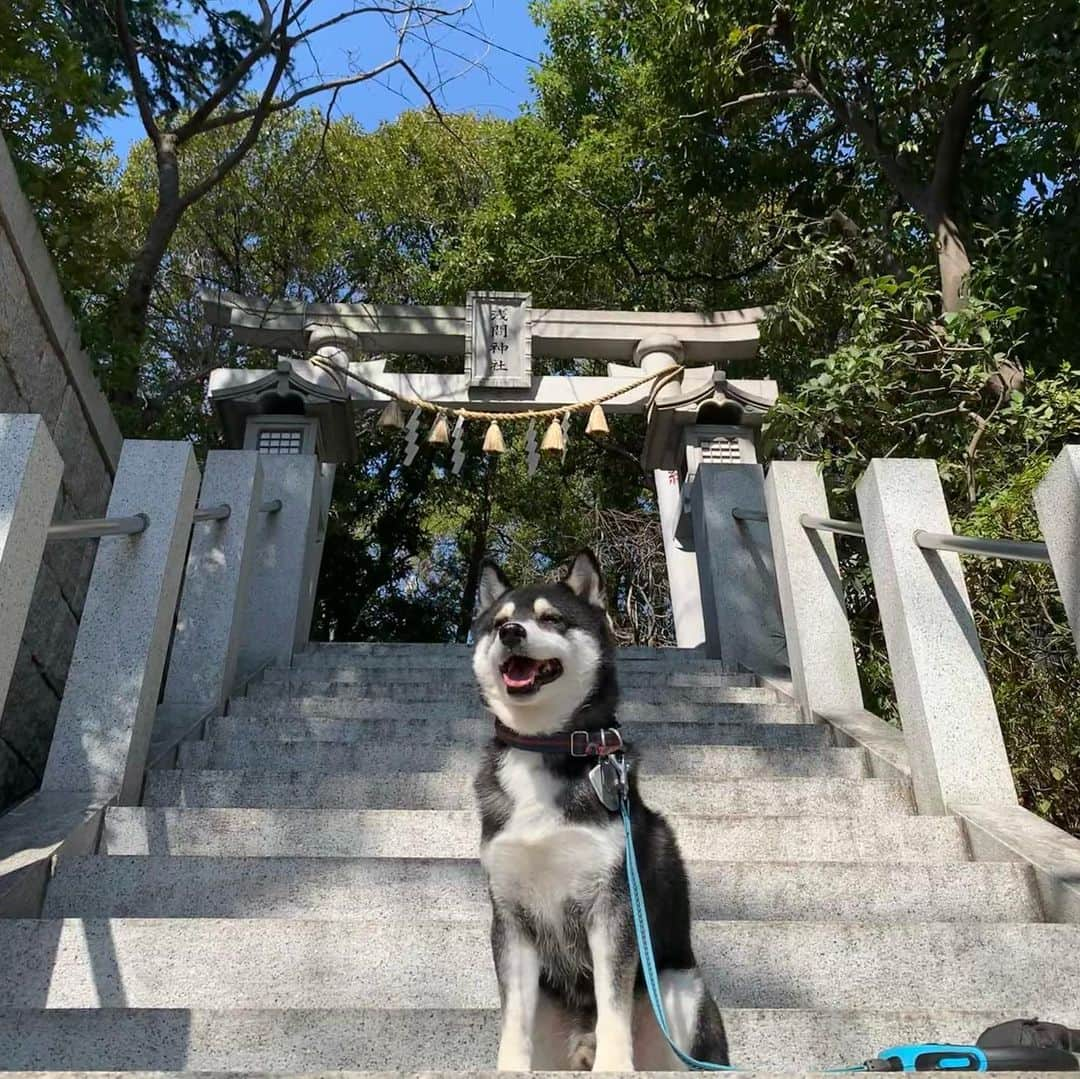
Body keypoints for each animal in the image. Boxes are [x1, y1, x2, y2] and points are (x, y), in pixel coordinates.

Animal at [470, 553, 730, 1075]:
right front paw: (509, 1066)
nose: (511, 631)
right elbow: (513, 1017)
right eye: (497, 621)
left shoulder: (613, 906)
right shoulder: (510, 916)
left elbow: (613, 1003)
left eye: (551, 619)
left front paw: (614, 1064)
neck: (545, 748)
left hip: (680, 986)